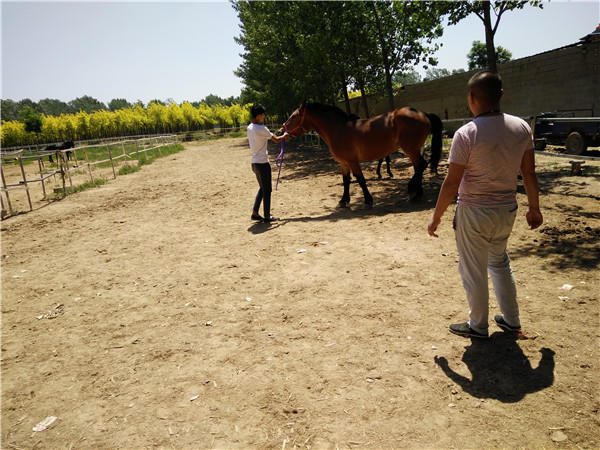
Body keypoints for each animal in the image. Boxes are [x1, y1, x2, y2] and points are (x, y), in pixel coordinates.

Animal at [284, 102, 442, 206]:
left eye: (293, 116)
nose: (282, 129)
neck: (338, 129)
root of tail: (423, 114)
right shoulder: (344, 163)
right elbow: (346, 181)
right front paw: (344, 200)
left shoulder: (353, 161)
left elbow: (360, 179)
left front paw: (368, 199)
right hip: (413, 150)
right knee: (419, 167)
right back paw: (418, 193)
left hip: (410, 149)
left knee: (421, 165)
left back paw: (412, 190)